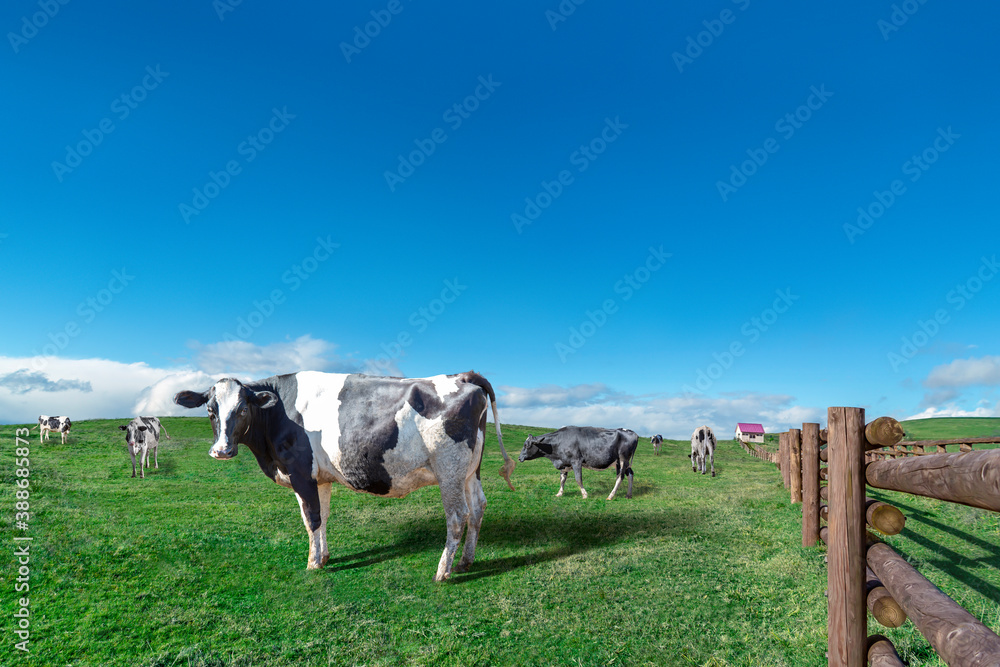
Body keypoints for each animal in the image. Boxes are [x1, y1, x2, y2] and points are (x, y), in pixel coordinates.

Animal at [174, 370, 516, 580]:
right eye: (210, 410)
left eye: (243, 409)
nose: (222, 450)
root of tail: (463, 376)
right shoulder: (320, 478)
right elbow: (323, 517)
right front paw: (324, 556)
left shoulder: (300, 473)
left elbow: (311, 519)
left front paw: (313, 564)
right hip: (470, 471)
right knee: (478, 508)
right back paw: (465, 562)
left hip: (449, 470)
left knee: (458, 516)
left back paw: (442, 572)